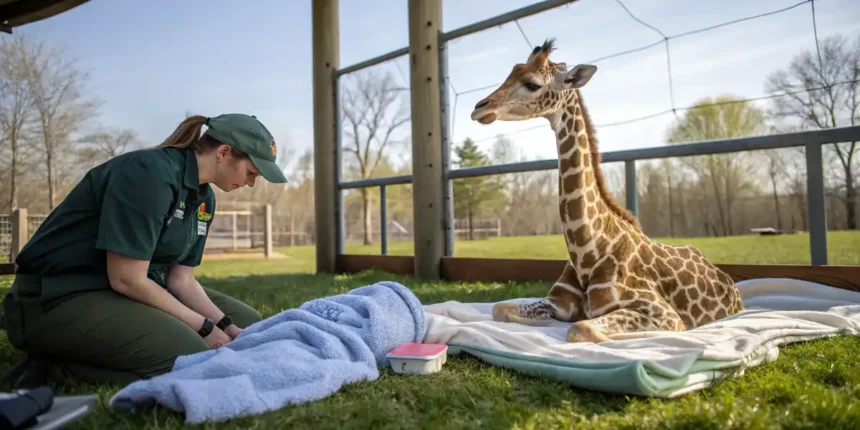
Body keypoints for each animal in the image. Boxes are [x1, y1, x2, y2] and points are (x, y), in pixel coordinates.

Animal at [469, 39, 744, 343]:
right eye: (511, 72)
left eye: (532, 83)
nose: (480, 107)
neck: (588, 250)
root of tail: (730, 282)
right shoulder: (557, 301)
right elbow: (500, 308)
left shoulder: (663, 313)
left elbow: (583, 328)